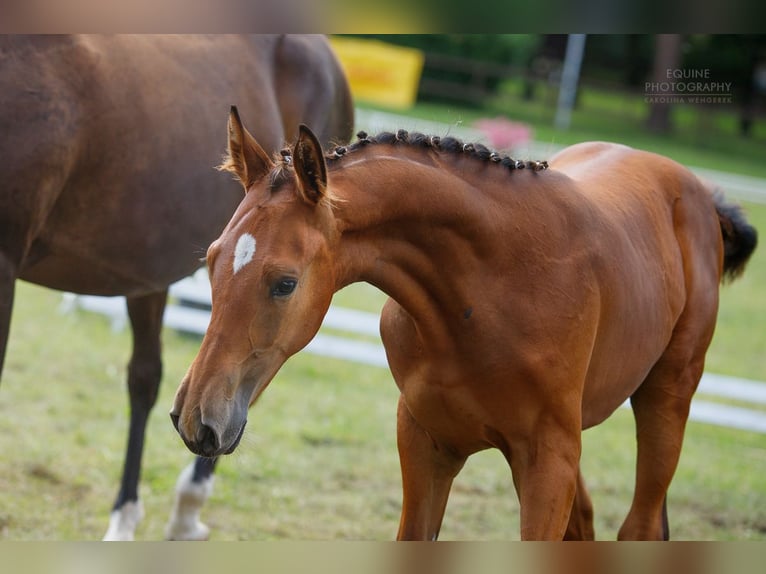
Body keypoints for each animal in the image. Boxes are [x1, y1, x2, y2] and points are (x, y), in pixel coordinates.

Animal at [171, 110, 760, 544]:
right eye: (211, 258)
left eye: (285, 283)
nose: (195, 419)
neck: (484, 294)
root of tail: (699, 192)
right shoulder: (427, 443)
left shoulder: (548, 462)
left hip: (665, 399)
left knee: (640, 526)